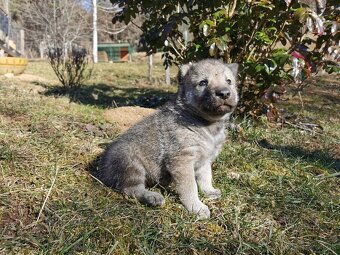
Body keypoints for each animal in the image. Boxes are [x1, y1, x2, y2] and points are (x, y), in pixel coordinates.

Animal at [97, 58, 238, 218]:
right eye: (203, 82)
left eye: (229, 81)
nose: (224, 93)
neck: (205, 123)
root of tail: (102, 170)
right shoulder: (182, 161)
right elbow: (190, 187)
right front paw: (196, 207)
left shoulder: (204, 159)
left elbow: (205, 176)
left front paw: (209, 191)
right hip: (131, 164)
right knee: (131, 189)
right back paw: (152, 197)